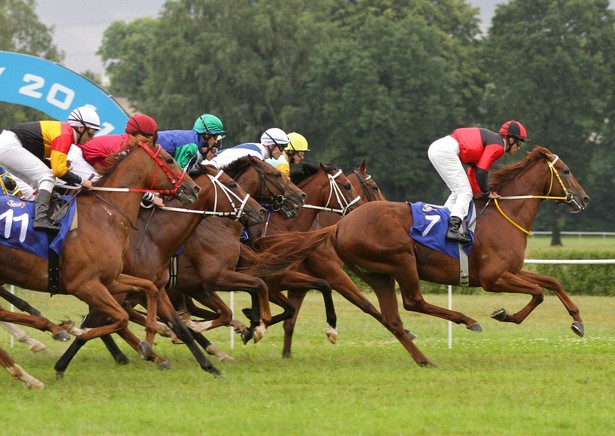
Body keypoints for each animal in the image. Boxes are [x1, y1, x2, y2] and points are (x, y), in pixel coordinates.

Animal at [0, 141, 199, 386]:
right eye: (170, 160)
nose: (193, 189)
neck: (106, 215)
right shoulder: (83, 284)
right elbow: (121, 318)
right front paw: (77, 331)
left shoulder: (110, 279)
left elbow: (149, 289)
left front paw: (150, 338)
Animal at [256, 148, 592, 366]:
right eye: (565, 171)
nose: (584, 198)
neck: (504, 214)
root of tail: (340, 224)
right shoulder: (494, 278)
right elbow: (538, 292)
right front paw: (505, 314)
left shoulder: (511, 271)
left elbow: (551, 282)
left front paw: (577, 321)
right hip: (401, 259)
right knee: (412, 302)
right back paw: (467, 320)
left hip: (376, 273)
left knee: (392, 317)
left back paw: (423, 358)